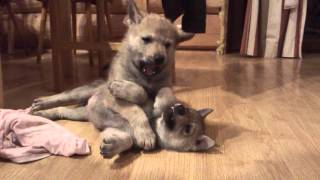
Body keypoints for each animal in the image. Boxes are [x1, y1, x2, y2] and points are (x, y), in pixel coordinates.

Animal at [30, 0, 215, 158]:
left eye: (168, 45)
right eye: (146, 39)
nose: (159, 58)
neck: (145, 78)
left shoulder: (164, 86)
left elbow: (165, 93)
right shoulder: (115, 100)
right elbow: (136, 107)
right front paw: (145, 131)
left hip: (81, 114)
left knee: (63, 110)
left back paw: (45, 113)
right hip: (82, 93)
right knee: (63, 95)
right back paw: (42, 102)